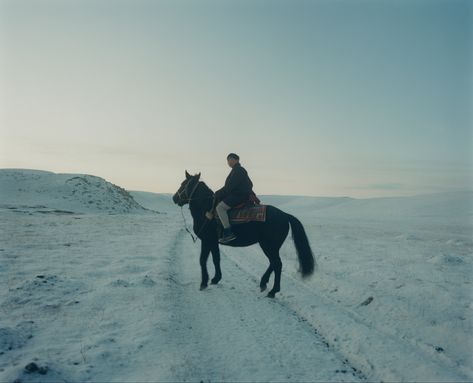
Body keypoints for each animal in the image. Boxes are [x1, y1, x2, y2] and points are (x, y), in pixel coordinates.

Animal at [171, 172, 316, 300]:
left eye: (183, 184)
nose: (174, 198)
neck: (206, 209)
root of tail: (285, 215)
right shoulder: (213, 242)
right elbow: (216, 259)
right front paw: (216, 278)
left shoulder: (207, 240)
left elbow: (202, 260)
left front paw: (203, 283)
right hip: (271, 246)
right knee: (273, 263)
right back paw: (263, 283)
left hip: (268, 246)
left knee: (277, 264)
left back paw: (273, 291)